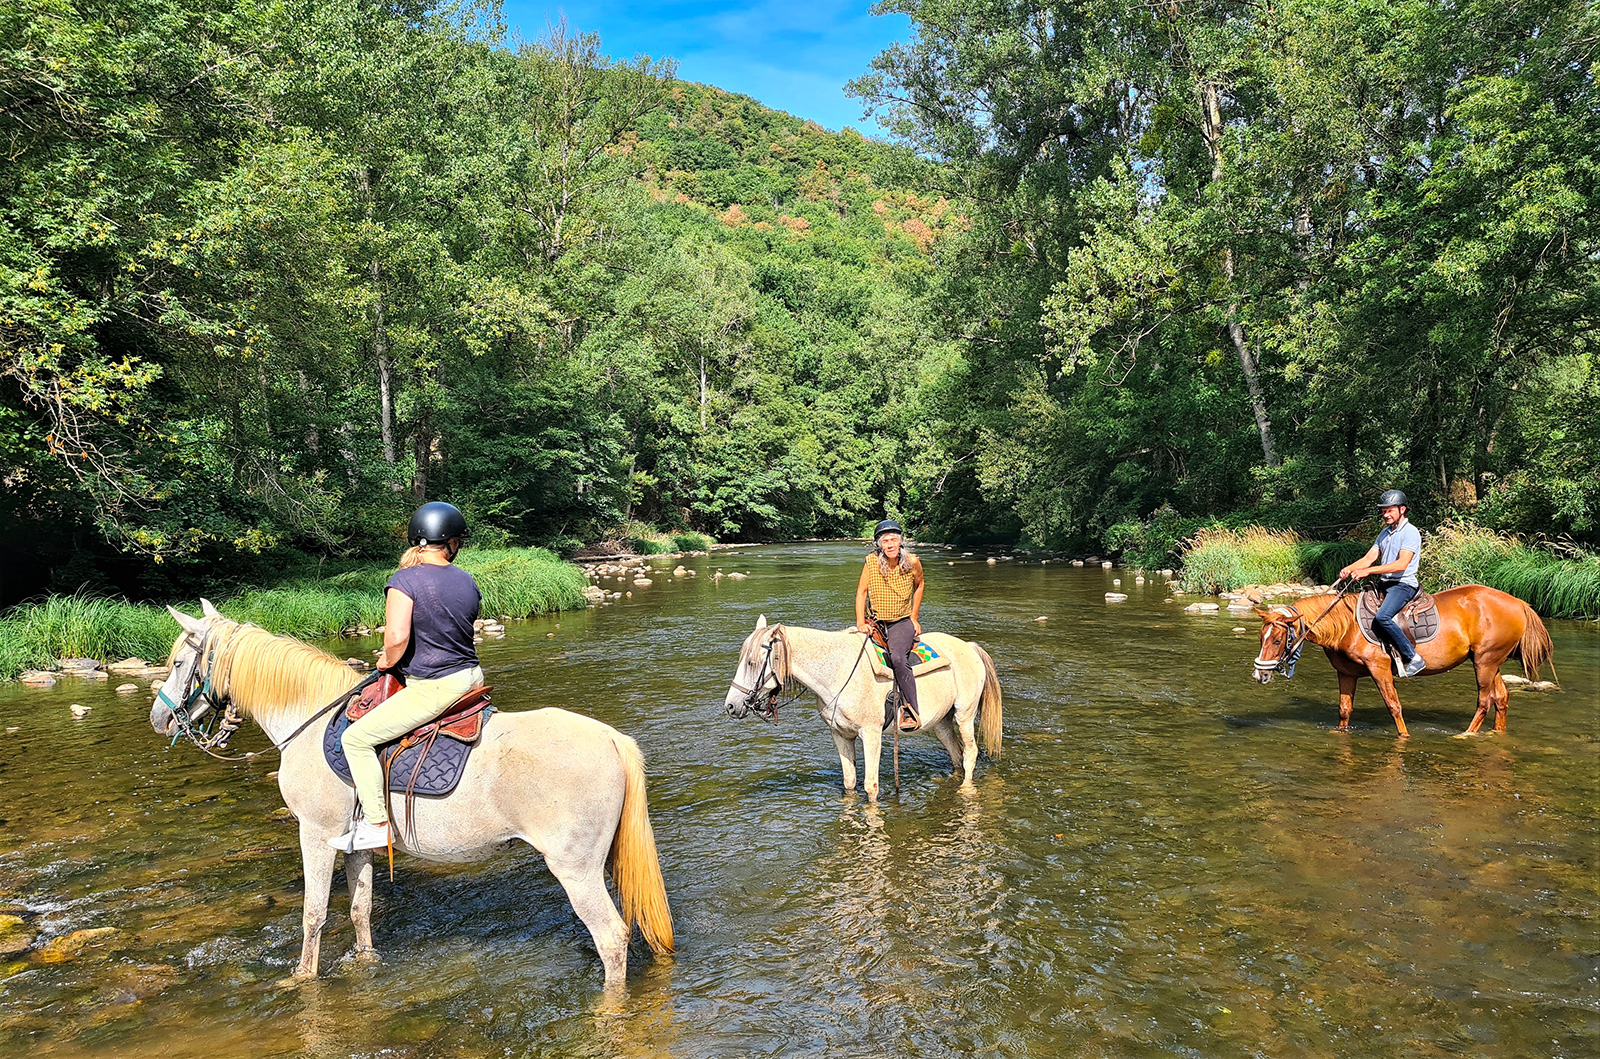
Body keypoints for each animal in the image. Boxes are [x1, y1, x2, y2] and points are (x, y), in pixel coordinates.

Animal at [1254, 588, 1555, 739]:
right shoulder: (1346, 673)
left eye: (1278, 640)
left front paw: (1404, 737)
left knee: (1485, 700)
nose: (1260, 676)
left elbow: (1394, 706)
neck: (1347, 625)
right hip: (1491, 662)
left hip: (1485, 662)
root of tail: (1518, 602)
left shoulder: (1379, 670)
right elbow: (1344, 710)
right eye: (1261, 637)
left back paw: (1465, 735)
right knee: (1501, 698)